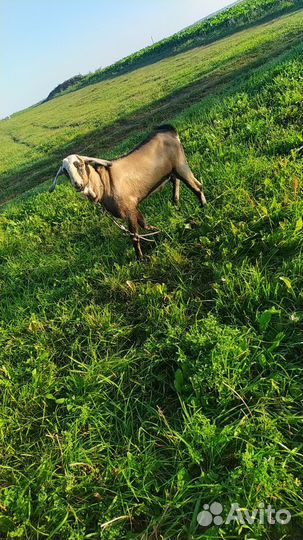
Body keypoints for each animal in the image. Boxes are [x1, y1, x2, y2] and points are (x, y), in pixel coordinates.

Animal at [50, 125, 207, 260]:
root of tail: (167, 130)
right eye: (65, 172)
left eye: (80, 164)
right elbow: (144, 224)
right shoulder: (133, 207)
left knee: (197, 187)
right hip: (171, 170)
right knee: (176, 181)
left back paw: (204, 207)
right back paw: (176, 203)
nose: (78, 185)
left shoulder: (128, 209)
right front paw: (157, 231)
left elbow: (134, 235)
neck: (103, 183)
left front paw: (140, 258)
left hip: (181, 165)